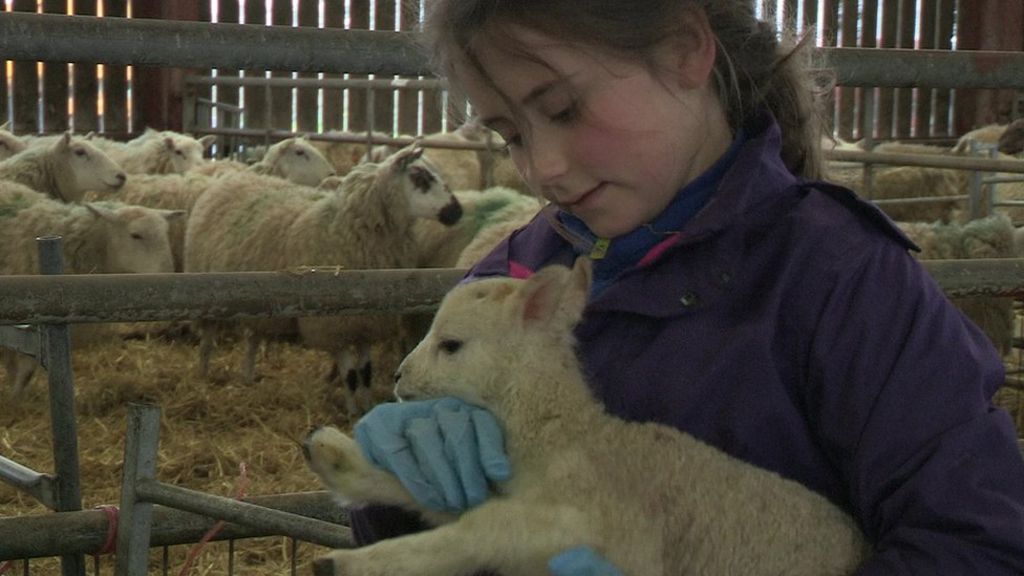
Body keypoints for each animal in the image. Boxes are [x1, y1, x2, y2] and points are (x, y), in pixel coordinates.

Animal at [185, 145, 464, 414]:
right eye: (420, 177)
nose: (456, 211)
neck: (347, 228)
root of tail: (234, 176)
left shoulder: (367, 322)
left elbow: (366, 372)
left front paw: (367, 405)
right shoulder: (332, 326)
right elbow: (350, 375)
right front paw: (352, 411)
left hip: (254, 301)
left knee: (252, 338)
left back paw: (247, 376)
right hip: (209, 296)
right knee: (207, 342)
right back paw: (203, 375)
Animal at [299, 258, 868, 573]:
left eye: (452, 344)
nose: (398, 376)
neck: (568, 438)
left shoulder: (601, 525)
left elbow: (482, 527)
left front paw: (347, 563)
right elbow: (440, 499)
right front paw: (339, 459)